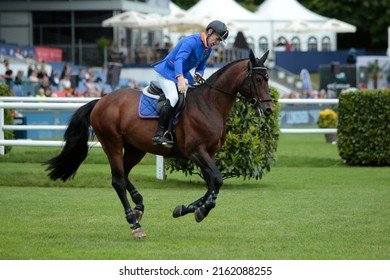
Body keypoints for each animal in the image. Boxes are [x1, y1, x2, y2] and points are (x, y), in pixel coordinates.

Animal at [45, 49, 272, 240]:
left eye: (268, 79)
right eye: (258, 79)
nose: (268, 109)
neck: (209, 104)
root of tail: (100, 101)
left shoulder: (210, 154)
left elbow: (212, 184)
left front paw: (187, 209)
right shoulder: (196, 152)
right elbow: (216, 180)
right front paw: (201, 210)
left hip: (136, 149)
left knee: (124, 175)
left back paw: (139, 205)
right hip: (112, 143)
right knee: (117, 180)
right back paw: (134, 224)